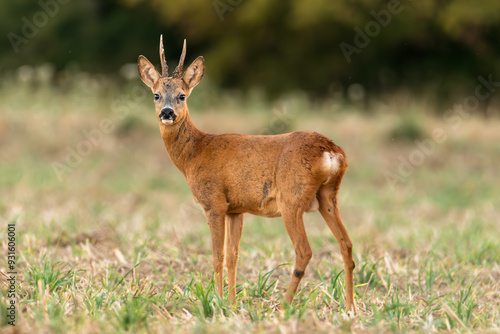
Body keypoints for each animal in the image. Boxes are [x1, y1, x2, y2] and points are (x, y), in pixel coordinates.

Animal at [137, 36, 356, 314]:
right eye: (156, 95)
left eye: (182, 95)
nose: (167, 112)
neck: (195, 153)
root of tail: (330, 150)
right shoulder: (236, 209)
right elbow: (233, 256)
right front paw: (231, 303)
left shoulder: (214, 203)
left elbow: (217, 256)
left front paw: (217, 302)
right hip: (329, 196)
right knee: (346, 245)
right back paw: (350, 307)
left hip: (292, 199)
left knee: (304, 251)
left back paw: (284, 307)